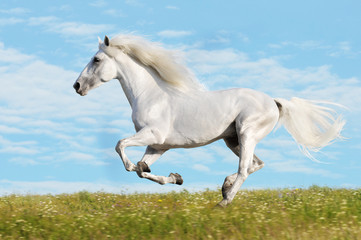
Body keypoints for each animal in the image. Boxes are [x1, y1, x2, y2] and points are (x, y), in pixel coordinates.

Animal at [72, 34, 344, 206]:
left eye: (96, 60)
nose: (77, 86)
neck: (151, 95)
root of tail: (273, 102)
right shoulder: (158, 146)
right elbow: (143, 171)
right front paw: (175, 177)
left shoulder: (152, 135)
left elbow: (121, 147)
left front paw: (137, 166)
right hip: (233, 140)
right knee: (256, 164)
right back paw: (224, 186)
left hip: (246, 133)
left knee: (245, 168)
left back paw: (224, 202)